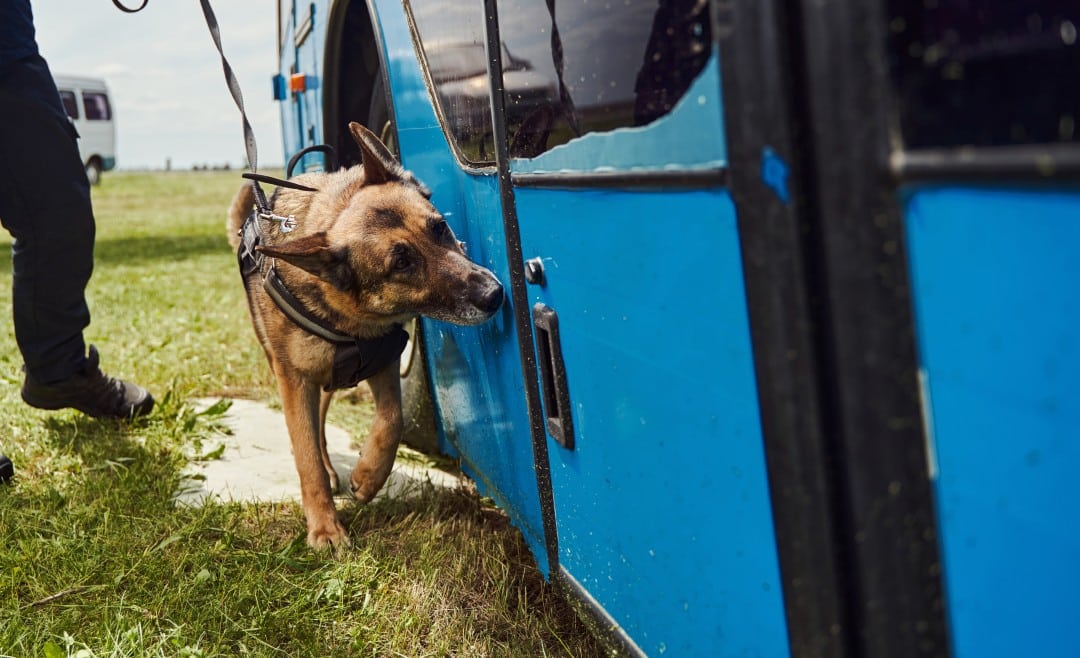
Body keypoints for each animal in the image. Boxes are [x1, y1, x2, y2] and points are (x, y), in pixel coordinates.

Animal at [228, 122, 505, 548]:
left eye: (439, 228)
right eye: (401, 263)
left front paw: (370, 476)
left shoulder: (383, 360)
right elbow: (305, 454)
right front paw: (325, 526)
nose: (494, 294)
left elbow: (392, 418)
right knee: (312, 435)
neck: (350, 319)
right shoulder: (294, 381)